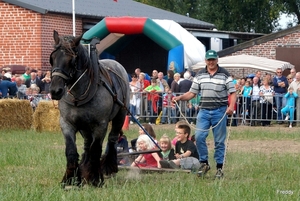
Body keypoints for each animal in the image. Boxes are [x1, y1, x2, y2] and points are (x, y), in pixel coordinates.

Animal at [49, 30, 129, 187]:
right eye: (53, 58)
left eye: (71, 60)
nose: (55, 90)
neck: (78, 95)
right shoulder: (66, 123)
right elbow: (71, 151)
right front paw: (70, 179)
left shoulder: (100, 125)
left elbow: (96, 150)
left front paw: (95, 178)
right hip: (84, 126)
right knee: (87, 144)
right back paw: (84, 168)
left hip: (120, 115)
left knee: (112, 138)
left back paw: (108, 167)